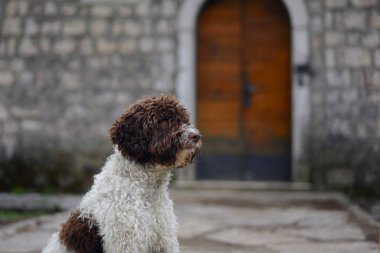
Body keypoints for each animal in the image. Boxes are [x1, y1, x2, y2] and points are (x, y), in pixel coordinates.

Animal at [42, 95, 202, 253]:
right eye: (163, 121)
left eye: (184, 121)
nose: (196, 136)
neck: (147, 193)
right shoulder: (126, 241)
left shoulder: (164, 240)